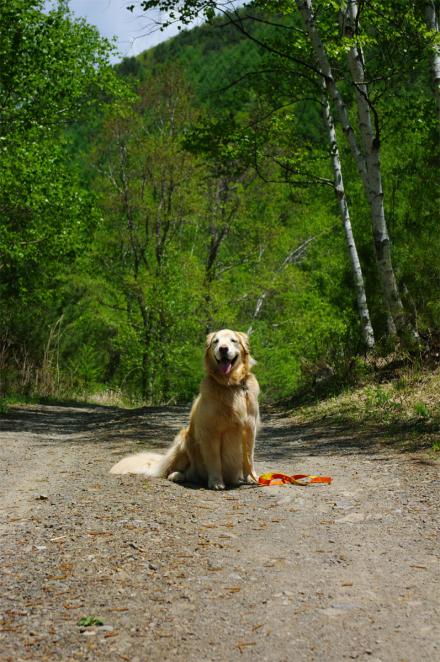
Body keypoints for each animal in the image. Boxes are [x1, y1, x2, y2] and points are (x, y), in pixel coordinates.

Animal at [110, 330, 260, 490]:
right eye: (216, 341)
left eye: (233, 340)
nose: (223, 349)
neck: (230, 385)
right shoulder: (209, 431)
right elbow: (214, 460)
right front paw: (216, 482)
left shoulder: (249, 428)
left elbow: (249, 457)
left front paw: (252, 478)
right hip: (184, 440)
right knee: (175, 472)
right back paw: (176, 475)